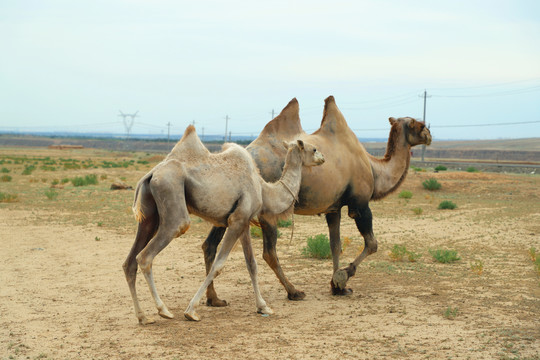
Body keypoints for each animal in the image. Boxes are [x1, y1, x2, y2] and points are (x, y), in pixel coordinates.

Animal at [123, 124, 324, 324]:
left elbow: (251, 264)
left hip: (149, 216)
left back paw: (143, 316)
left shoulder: (244, 222)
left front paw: (263, 306)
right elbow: (218, 265)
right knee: (147, 255)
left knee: (129, 262)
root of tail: (151, 174)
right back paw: (163, 310)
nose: (323, 157)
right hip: (172, 198)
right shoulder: (237, 220)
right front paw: (191, 311)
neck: (263, 189)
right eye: (313, 149)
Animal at [200, 95, 432, 304]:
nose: (429, 135)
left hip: (231, 206)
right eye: (419, 124)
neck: (375, 170)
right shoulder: (360, 204)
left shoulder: (333, 208)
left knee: (210, 245)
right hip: (266, 207)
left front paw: (337, 287)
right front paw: (342, 277)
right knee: (269, 252)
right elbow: (372, 243)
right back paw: (294, 291)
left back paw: (214, 298)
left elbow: (335, 245)